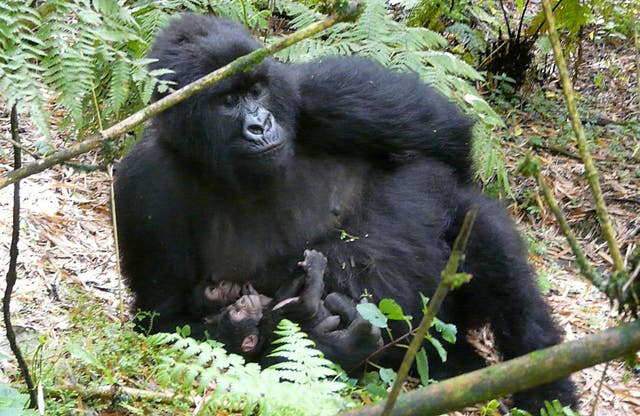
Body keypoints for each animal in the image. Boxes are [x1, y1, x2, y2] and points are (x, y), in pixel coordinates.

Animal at [112, 13, 576, 412]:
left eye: (257, 90)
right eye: (228, 100)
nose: (260, 125)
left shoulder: (316, 90)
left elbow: (445, 143)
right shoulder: (144, 181)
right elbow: (164, 318)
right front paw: (266, 323)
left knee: (477, 226)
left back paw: (544, 384)